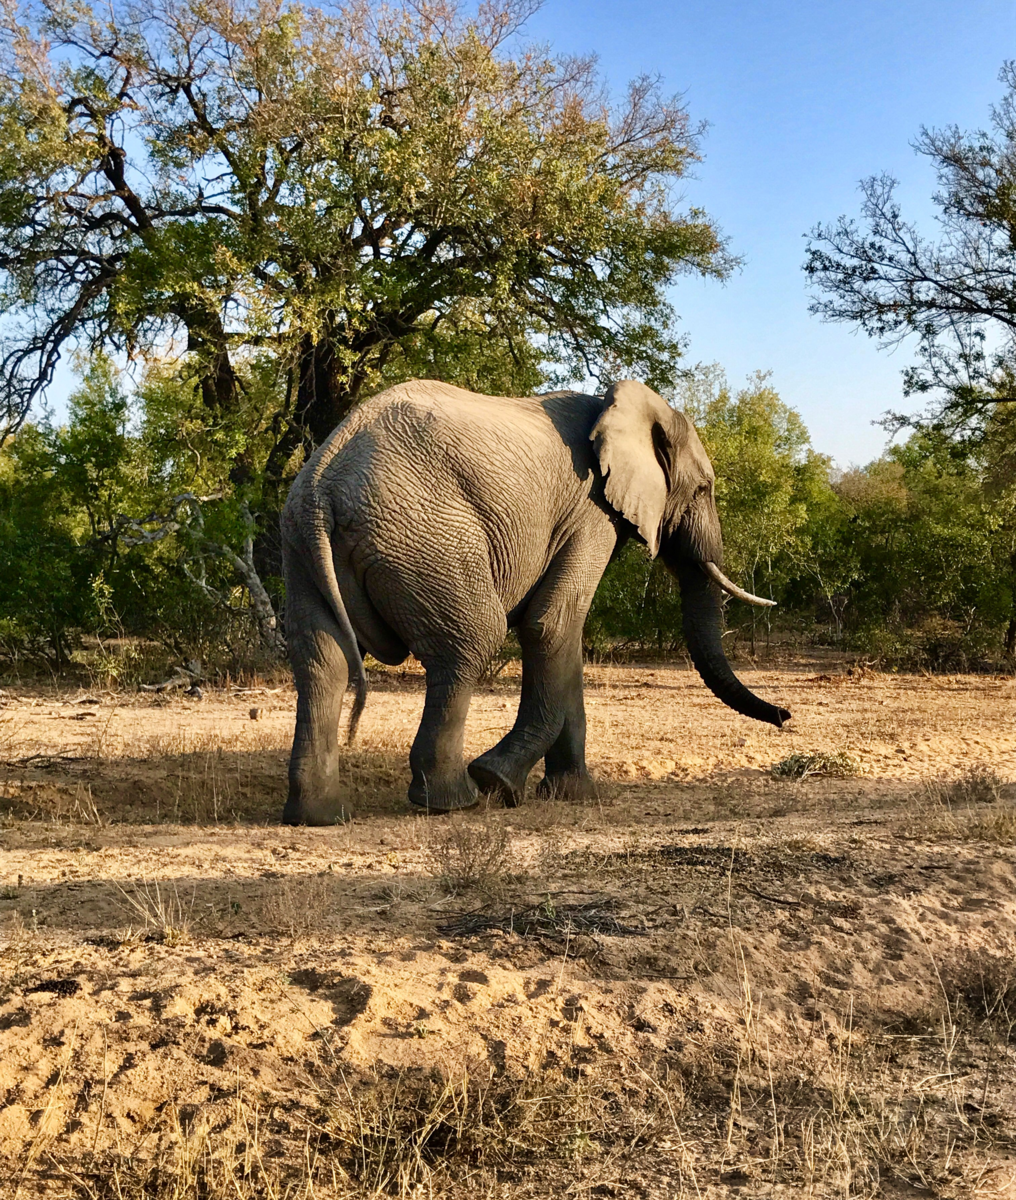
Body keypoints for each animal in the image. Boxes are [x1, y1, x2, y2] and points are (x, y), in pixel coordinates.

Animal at [281, 376, 791, 825]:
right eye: (703, 489)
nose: (785, 716)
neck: (620, 405)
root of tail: (323, 484)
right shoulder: (591, 512)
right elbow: (554, 624)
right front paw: (498, 782)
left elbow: (559, 635)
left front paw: (573, 795)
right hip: (423, 539)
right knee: (471, 643)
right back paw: (453, 801)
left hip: (304, 553)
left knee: (323, 662)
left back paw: (320, 817)